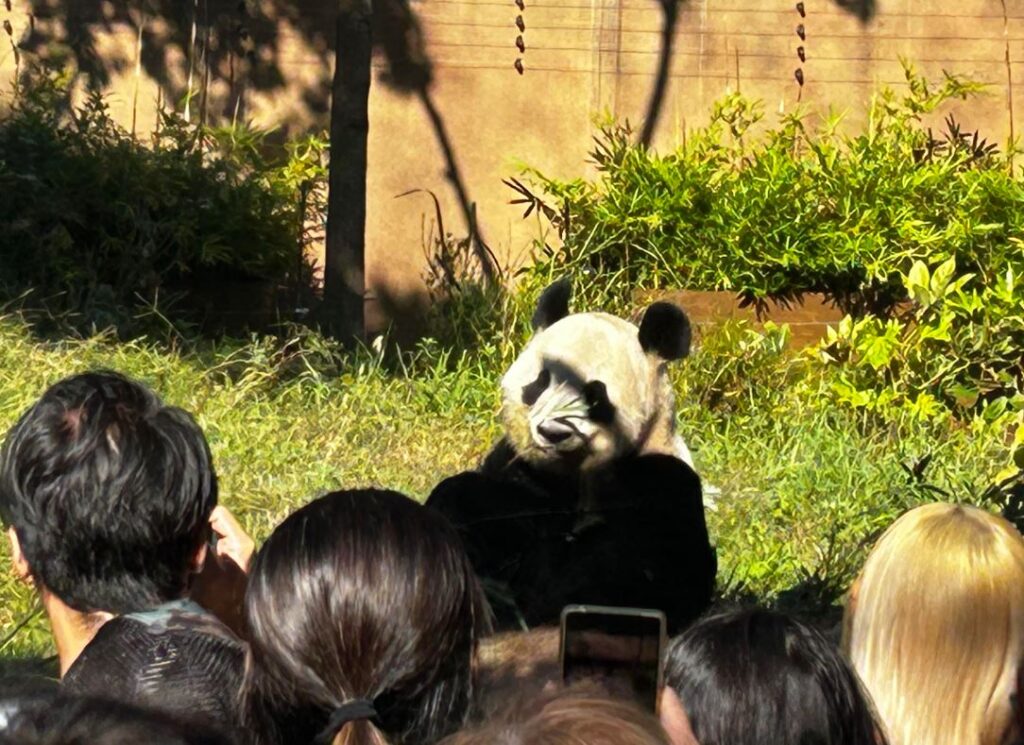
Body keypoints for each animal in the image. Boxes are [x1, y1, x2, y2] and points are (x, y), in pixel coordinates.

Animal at [428, 278, 716, 634]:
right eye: (540, 383)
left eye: (595, 396)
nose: (553, 432)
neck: (571, 475)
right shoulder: (517, 467)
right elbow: (483, 502)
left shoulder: (660, 478)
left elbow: (629, 570)